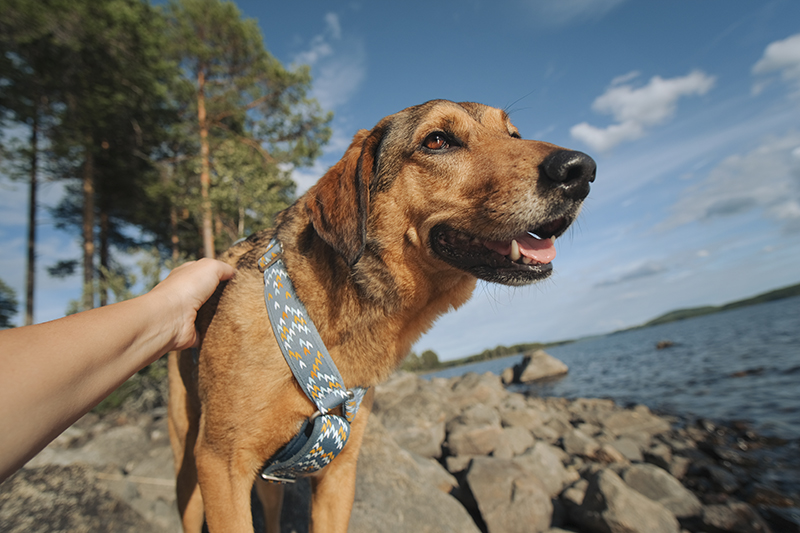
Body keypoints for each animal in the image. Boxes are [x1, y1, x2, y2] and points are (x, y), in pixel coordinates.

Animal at [167, 97, 592, 528]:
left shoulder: (338, 474)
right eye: (437, 140)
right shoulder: (222, 465)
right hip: (189, 466)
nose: (581, 170)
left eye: (514, 135)